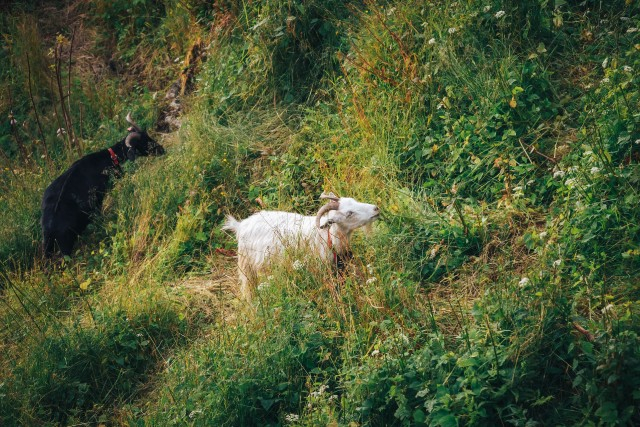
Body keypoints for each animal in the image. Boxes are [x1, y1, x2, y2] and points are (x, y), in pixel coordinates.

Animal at [41, 112, 164, 258]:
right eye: (144, 142)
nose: (162, 149)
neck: (108, 159)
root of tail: (49, 226)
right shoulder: (98, 200)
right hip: (66, 244)